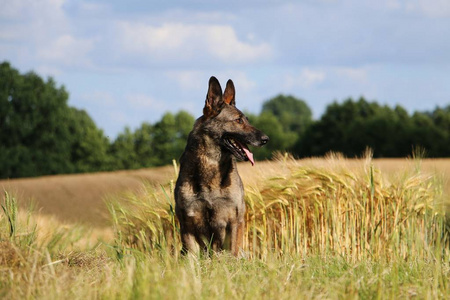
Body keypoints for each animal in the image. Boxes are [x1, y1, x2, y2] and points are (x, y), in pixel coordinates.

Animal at [175, 75, 268, 255]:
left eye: (247, 120)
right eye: (238, 120)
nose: (266, 139)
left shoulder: (235, 221)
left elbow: (233, 252)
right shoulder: (187, 226)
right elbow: (192, 258)